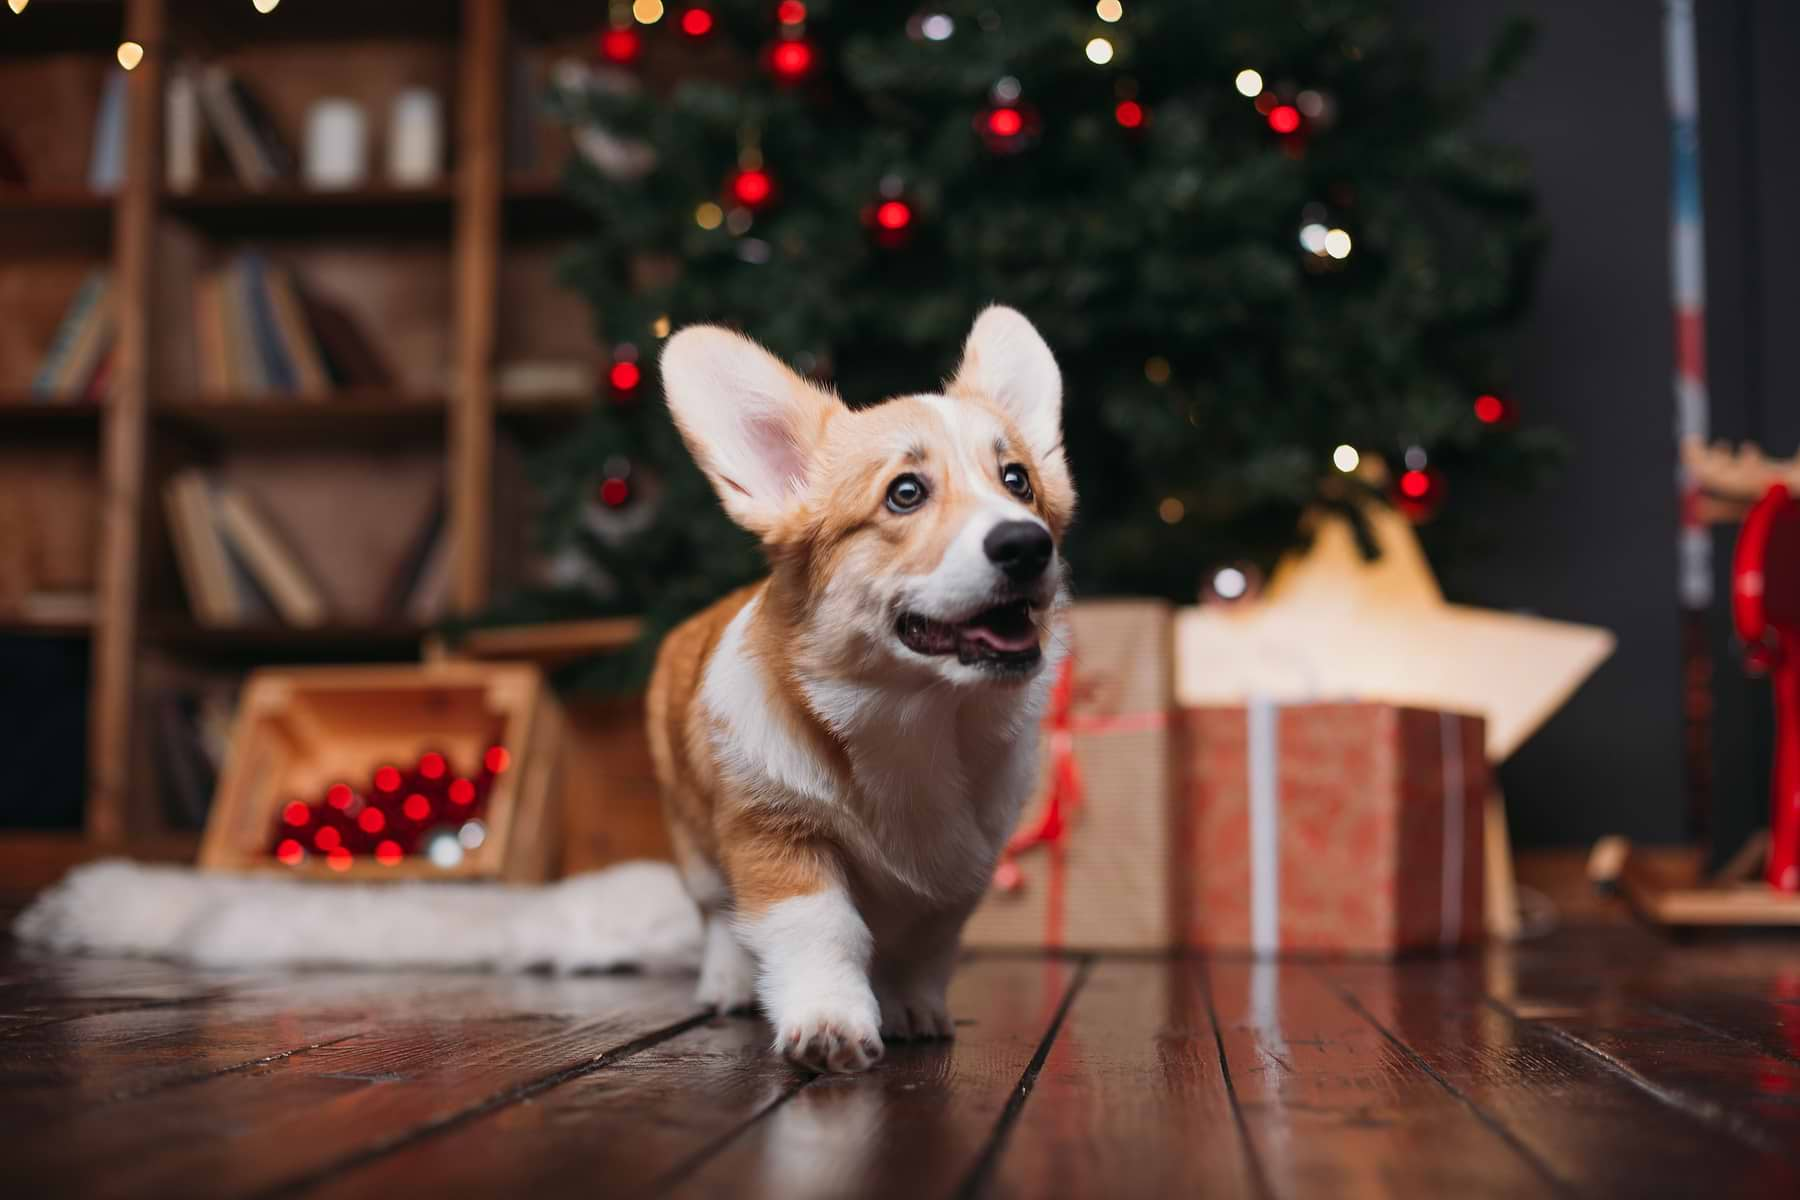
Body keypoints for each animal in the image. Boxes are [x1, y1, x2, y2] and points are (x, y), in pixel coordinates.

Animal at [648, 305, 1065, 1072]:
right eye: (905, 493)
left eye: (1018, 480)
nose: (1027, 544)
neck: (911, 720)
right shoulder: (776, 834)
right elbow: (822, 930)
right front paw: (830, 1024)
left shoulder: (960, 870)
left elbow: (923, 944)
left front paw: (910, 1008)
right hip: (693, 838)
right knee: (718, 915)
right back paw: (726, 984)